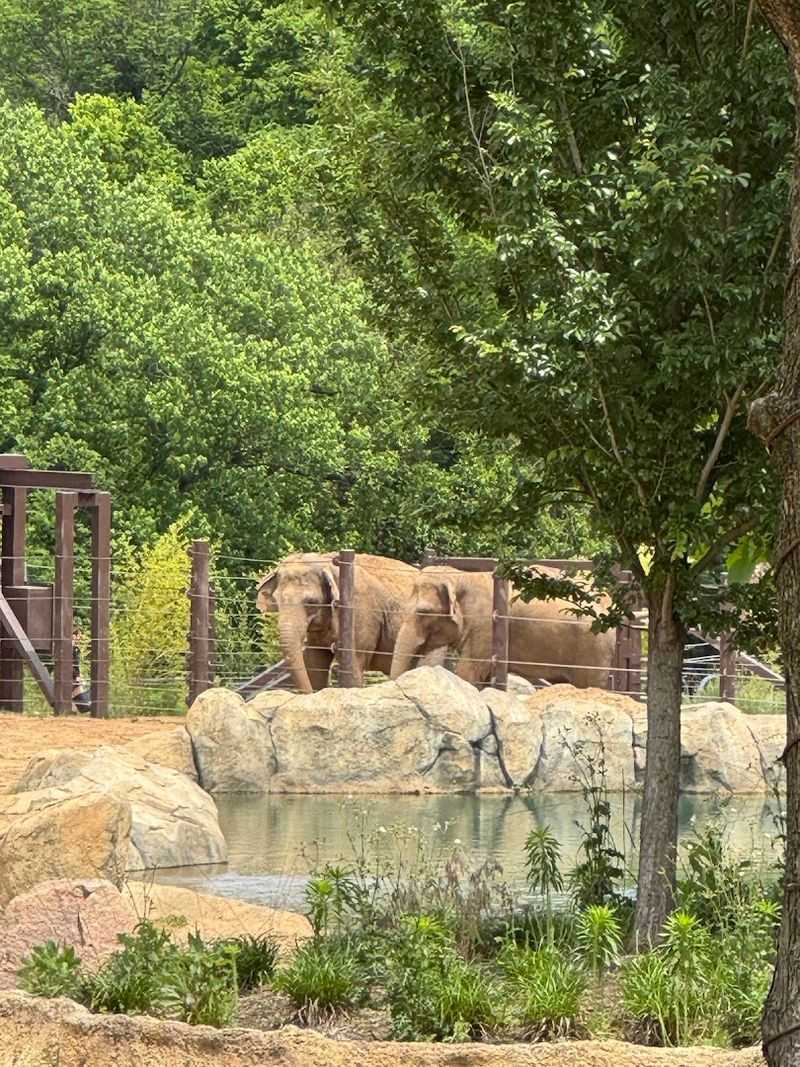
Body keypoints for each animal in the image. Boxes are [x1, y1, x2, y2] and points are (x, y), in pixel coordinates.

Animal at [256, 552, 436, 693]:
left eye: (311, 602)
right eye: (277, 601)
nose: (308, 693)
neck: (328, 562)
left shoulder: (360, 613)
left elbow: (353, 667)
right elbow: (315, 662)